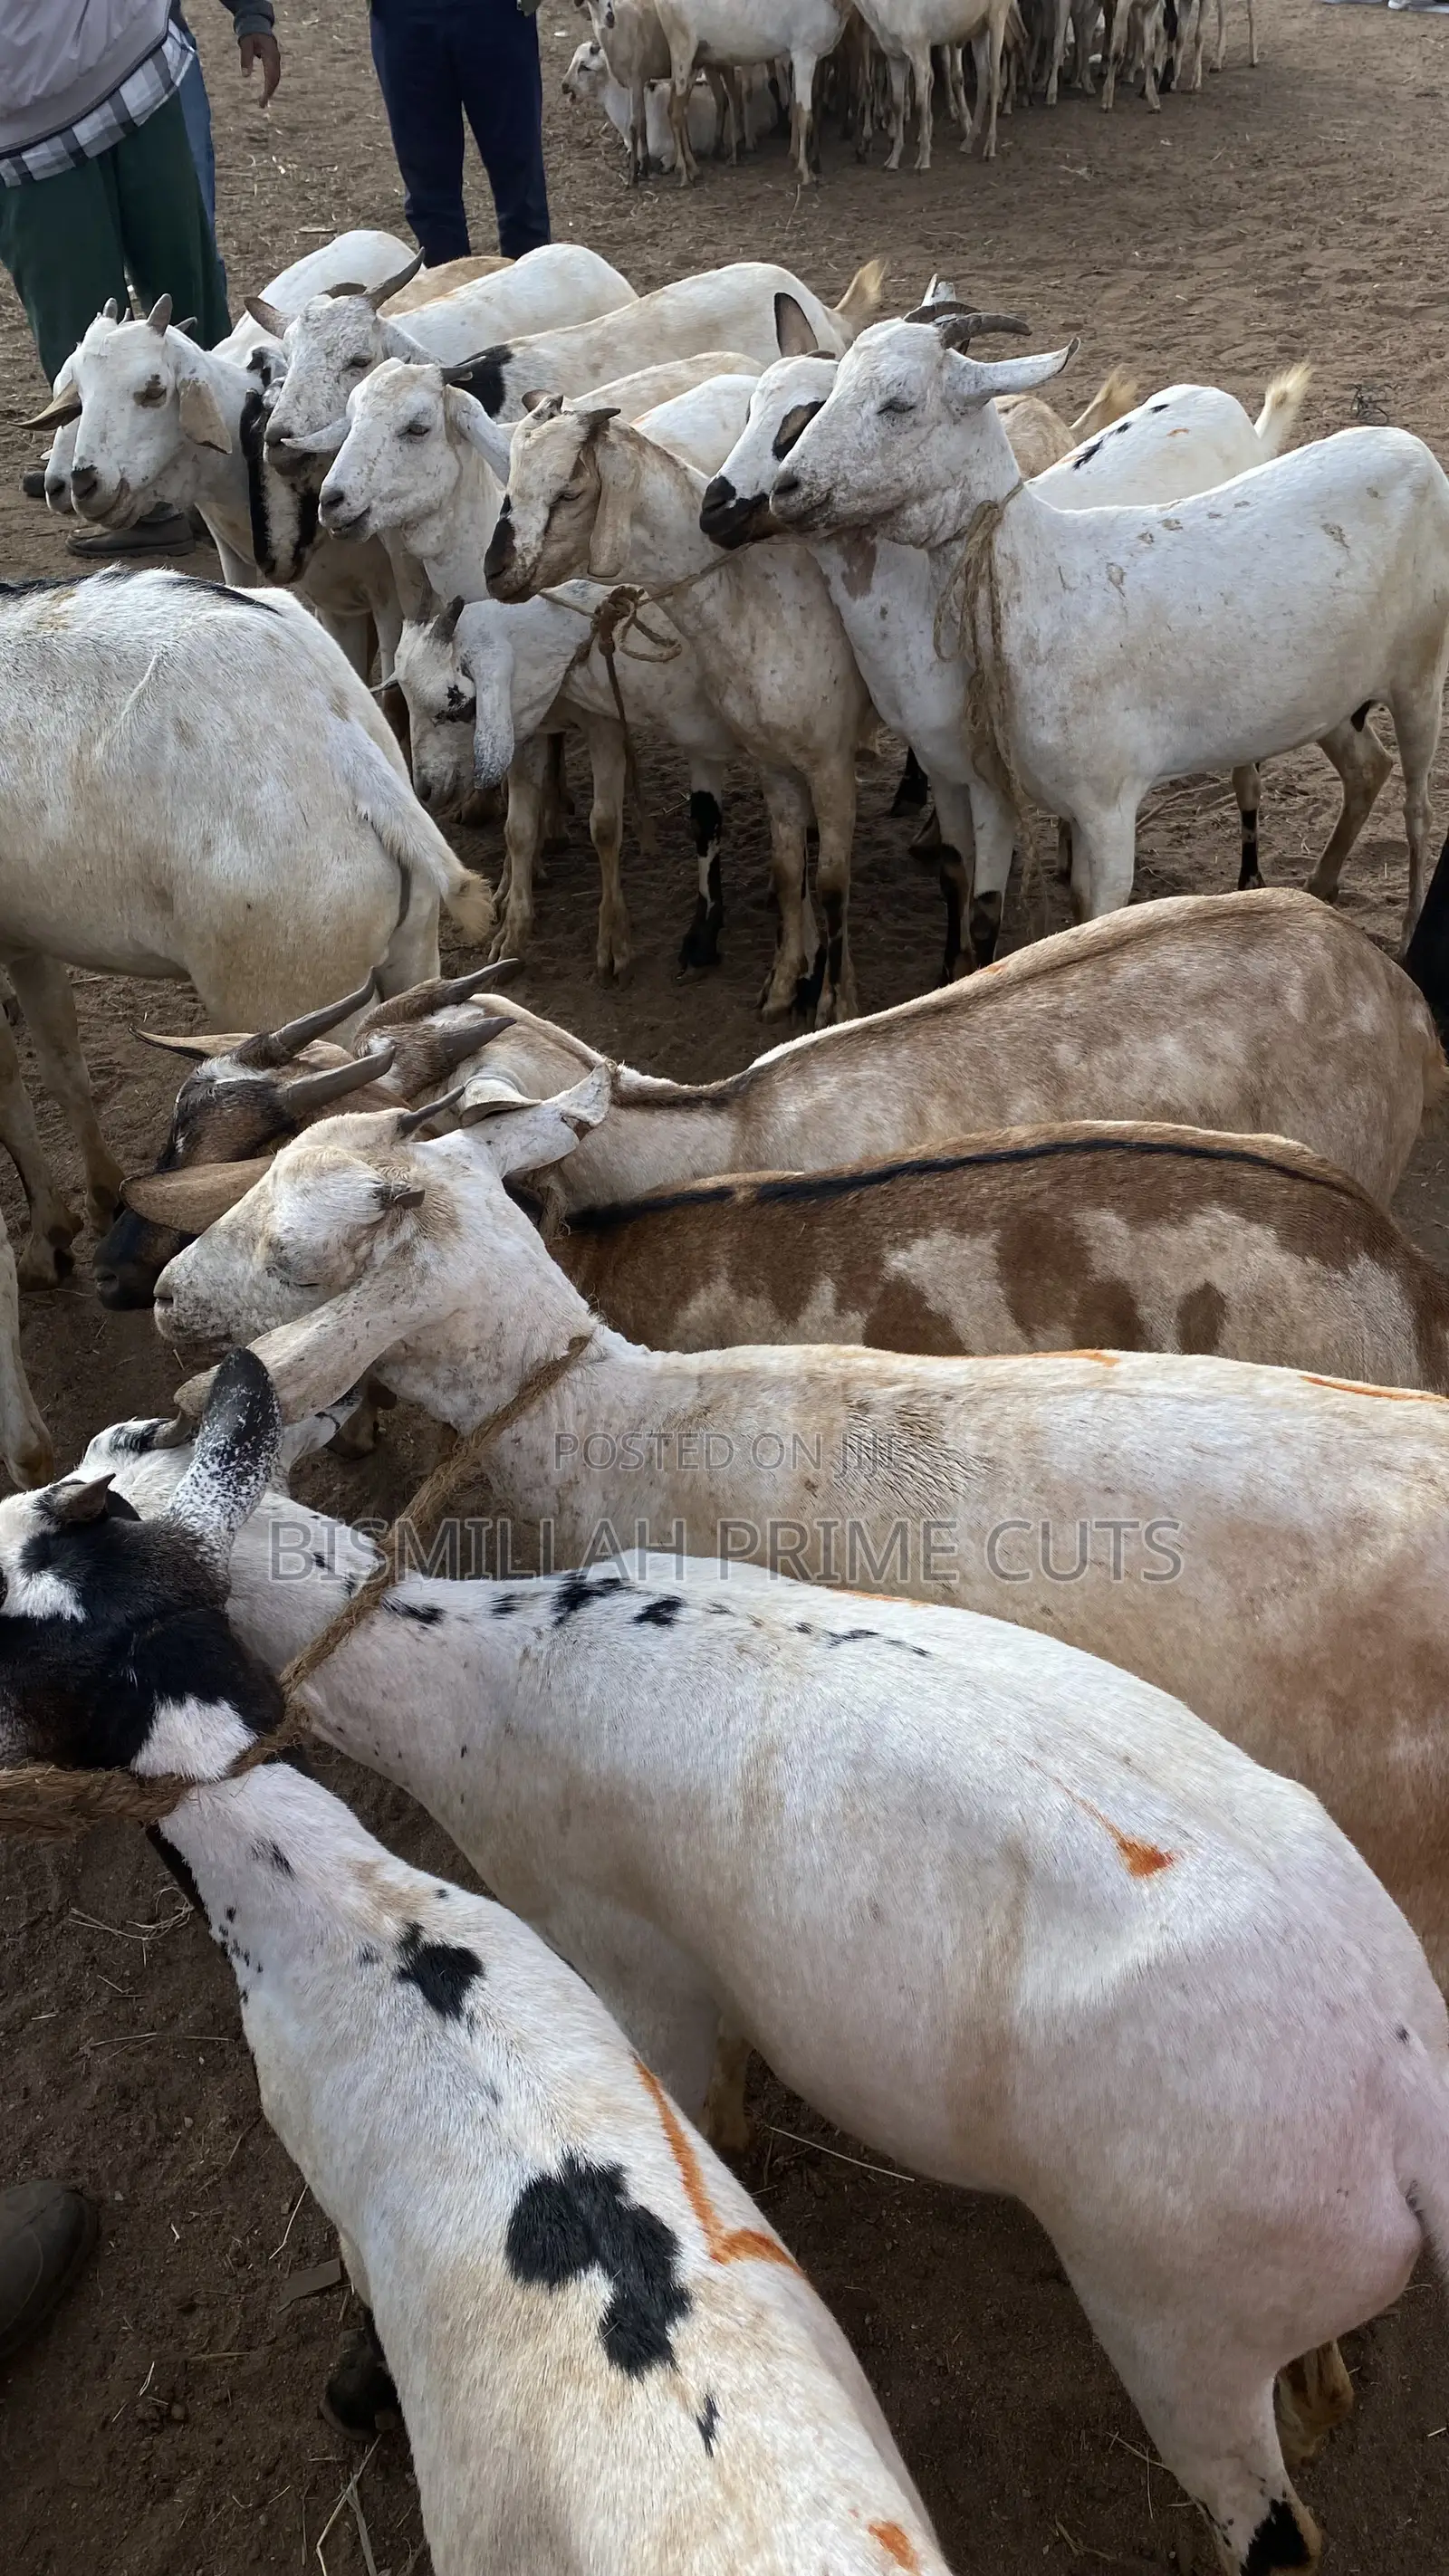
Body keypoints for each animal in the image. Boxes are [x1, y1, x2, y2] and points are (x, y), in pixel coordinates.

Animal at [0, 573, 491, 1287]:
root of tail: (334, 735)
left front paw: (46, 1241)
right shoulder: (26, 943)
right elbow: (64, 1069)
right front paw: (92, 1202)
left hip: (292, 999)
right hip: (411, 955)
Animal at [82, 1384, 1449, 2576]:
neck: (476, 1666)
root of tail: (1407, 2096)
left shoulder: (627, 1968)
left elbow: (703, 2100)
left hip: (1177, 2317)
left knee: (1270, 2524)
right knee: (1317, 2386)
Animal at [488, 402, 871, 1021]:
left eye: (569, 492)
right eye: (510, 483)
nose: (494, 572)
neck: (761, 600)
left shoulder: (830, 763)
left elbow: (833, 883)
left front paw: (836, 1002)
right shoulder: (772, 761)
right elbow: (789, 869)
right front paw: (785, 983)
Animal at [705, 315, 1385, 951]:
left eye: (893, 403)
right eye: (751, 409)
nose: (718, 506)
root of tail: (1216, 399)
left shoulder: (987, 773)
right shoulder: (947, 764)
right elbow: (956, 877)